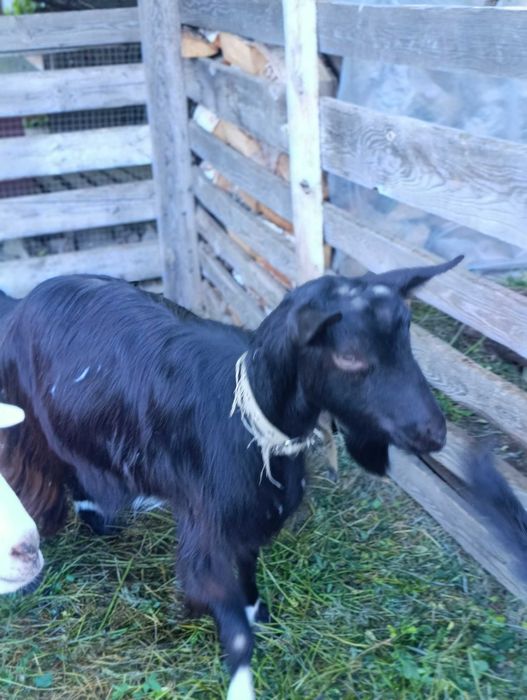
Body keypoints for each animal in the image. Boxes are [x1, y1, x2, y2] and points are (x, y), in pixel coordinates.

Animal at [0, 258, 461, 698]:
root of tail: (19, 304)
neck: (253, 425)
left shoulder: (247, 518)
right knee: (59, 470)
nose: (435, 433)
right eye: (349, 356)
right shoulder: (207, 530)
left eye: (407, 341)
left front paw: (259, 612)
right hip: (39, 426)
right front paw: (242, 685)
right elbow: (234, 630)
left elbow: (249, 570)